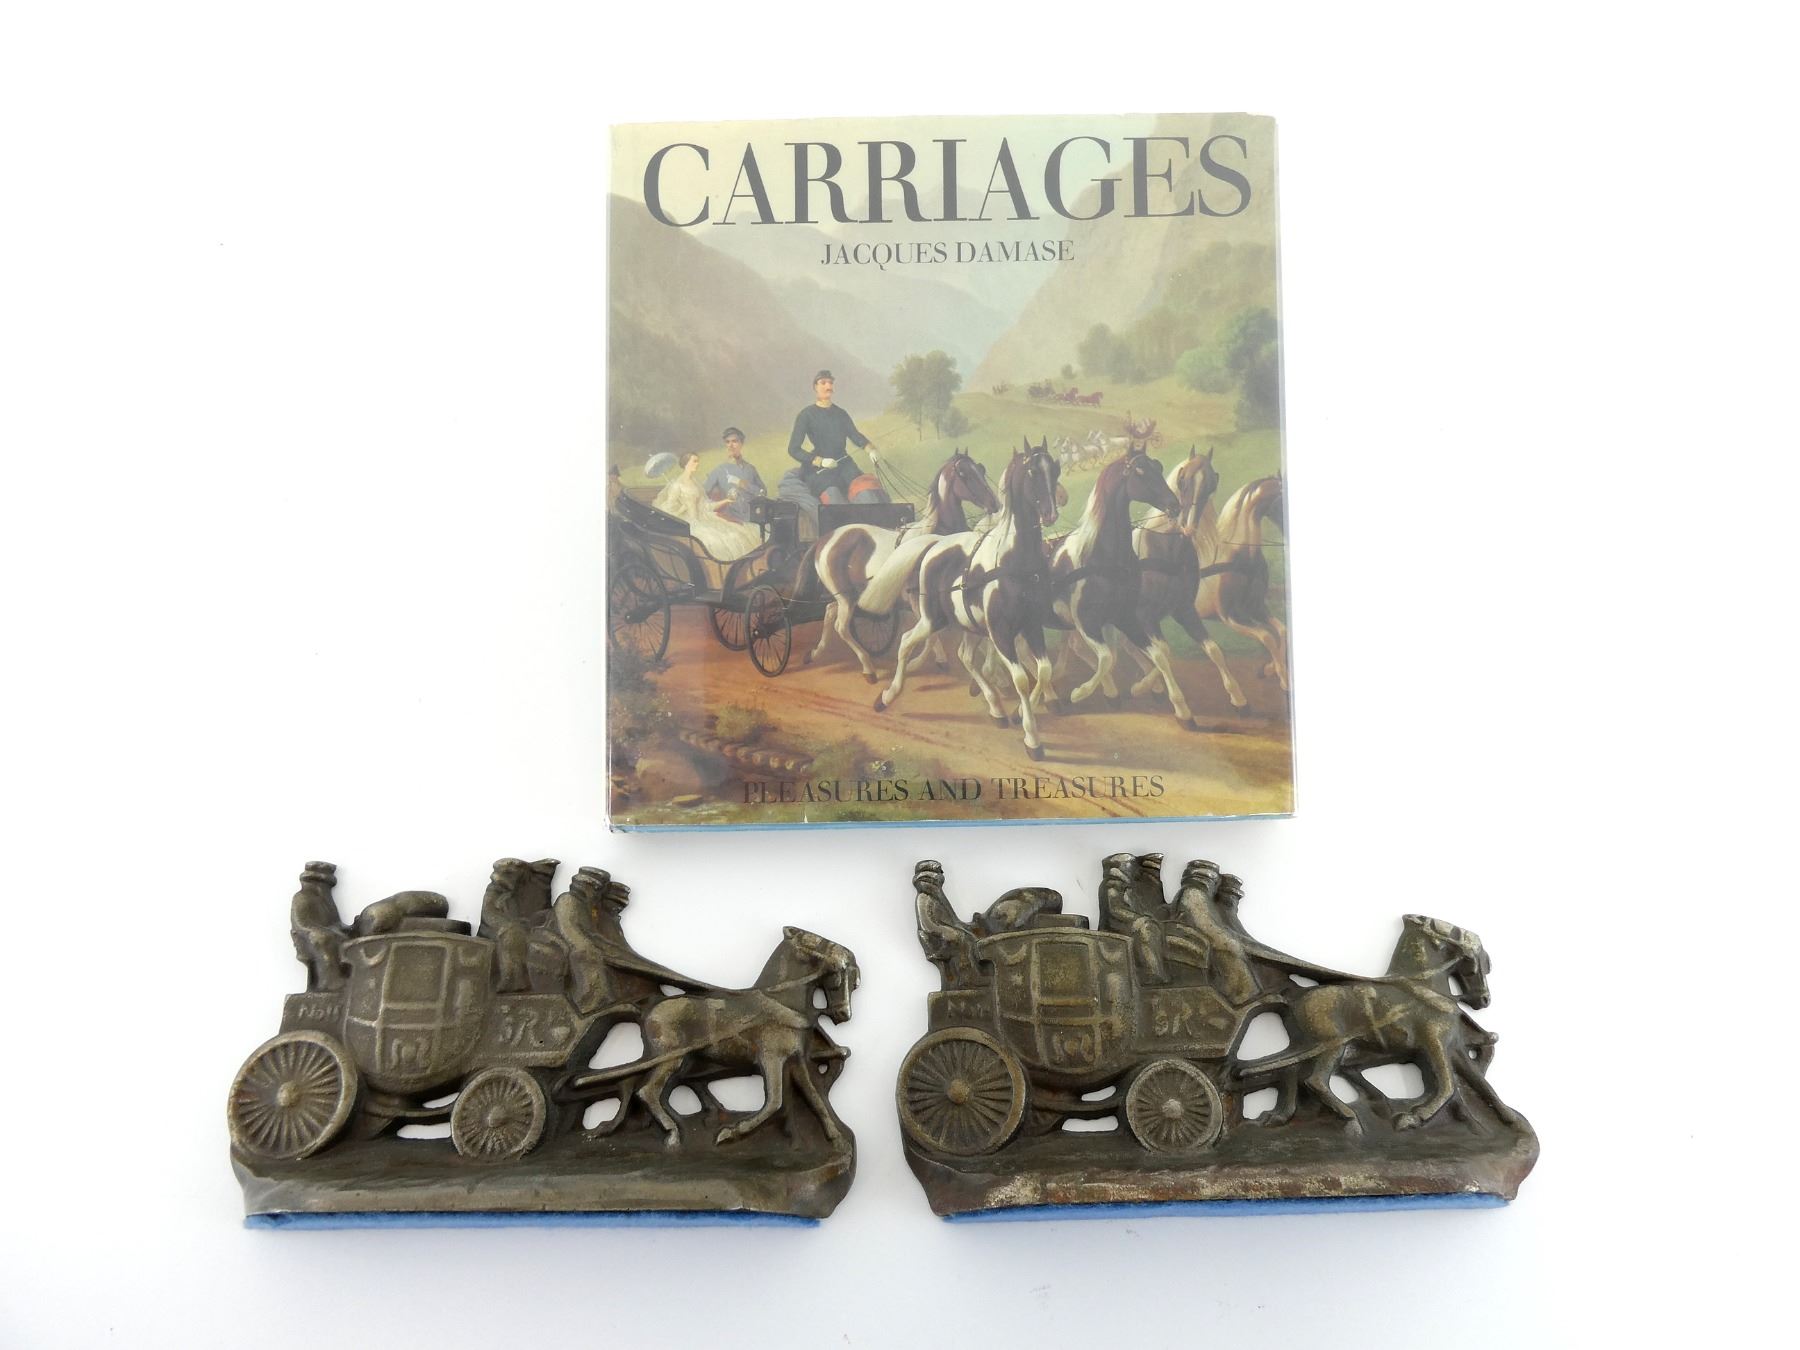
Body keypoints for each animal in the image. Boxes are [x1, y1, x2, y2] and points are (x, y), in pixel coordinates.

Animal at [563, 926, 859, 1149]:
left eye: (853, 983)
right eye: (837, 977)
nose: (843, 1014)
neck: (780, 1002)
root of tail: (647, 1010)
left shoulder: (796, 1060)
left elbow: (815, 1098)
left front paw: (835, 1138)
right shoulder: (771, 1059)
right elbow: (774, 1101)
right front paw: (731, 1132)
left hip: (674, 1060)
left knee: (635, 1084)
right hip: (671, 1059)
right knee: (647, 1091)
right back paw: (674, 1134)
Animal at [809, 448, 1000, 681]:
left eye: (980, 469)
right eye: (964, 473)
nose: (994, 504)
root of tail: (826, 538)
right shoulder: (917, 600)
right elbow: (931, 634)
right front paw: (926, 661)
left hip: (849, 595)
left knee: (829, 611)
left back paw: (816, 652)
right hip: (846, 598)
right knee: (841, 627)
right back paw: (868, 667)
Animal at [874, 438, 1064, 760]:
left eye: (1055, 468)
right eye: (1032, 471)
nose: (1051, 513)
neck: (1014, 561)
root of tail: (936, 543)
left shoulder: (1031, 625)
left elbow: (1045, 670)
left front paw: (1018, 714)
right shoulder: (1000, 633)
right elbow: (1021, 679)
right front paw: (1032, 739)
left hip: (969, 624)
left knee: (963, 655)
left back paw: (996, 708)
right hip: (932, 619)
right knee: (906, 642)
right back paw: (888, 696)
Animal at [1230, 915, 1519, 1137]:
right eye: (1477, 960)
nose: (1484, 999)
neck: (1427, 988)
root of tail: (1295, 997)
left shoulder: (1453, 1047)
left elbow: (1480, 1084)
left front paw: (1508, 1119)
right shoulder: (1433, 1043)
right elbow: (1447, 1085)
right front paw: (1412, 1117)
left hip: (1310, 1045)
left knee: (1290, 1072)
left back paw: (1280, 1116)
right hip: (1333, 1046)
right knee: (1314, 1080)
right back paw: (1351, 1119)